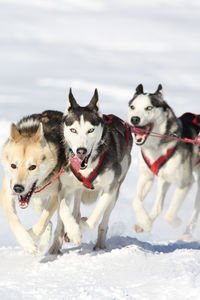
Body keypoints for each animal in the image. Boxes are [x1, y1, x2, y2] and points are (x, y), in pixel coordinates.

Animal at [0, 110, 67, 253]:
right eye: (13, 165)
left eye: (32, 167)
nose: (18, 188)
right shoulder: (7, 193)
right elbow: (13, 220)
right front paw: (26, 242)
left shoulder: (56, 195)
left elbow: (42, 223)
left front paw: (30, 238)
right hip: (38, 201)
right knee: (50, 224)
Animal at [49, 88, 132, 253]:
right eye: (73, 130)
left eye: (91, 130)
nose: (81, 151)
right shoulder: (65, 188)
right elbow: (63, 210)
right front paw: (73, 231)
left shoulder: (110, 187)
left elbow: (94, 217)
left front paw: (81, 224)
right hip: (76, 189)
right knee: (71, 212)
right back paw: (57, 245)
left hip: (116, 192)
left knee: (104, 220)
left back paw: (99, 244)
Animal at [128, 84, 200, 239]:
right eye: (132, 107)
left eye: (149, 107)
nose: (134, 119)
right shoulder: (148, 177)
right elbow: (137, 201)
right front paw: (145, 222)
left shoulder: (185, 183)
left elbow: (169, 215)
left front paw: (176, 222)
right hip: (164, 179)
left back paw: (187, 233)